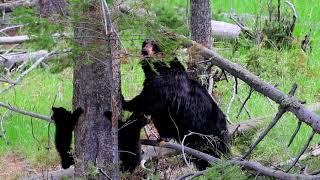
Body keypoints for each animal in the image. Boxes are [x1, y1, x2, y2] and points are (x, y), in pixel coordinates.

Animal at [122, 39, 230, 170]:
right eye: (145, 43)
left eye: (154, 45)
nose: (144, 50)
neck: (159, 69)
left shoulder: (164, 87)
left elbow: (147, 101)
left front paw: (124, 101)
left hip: (205, 138)